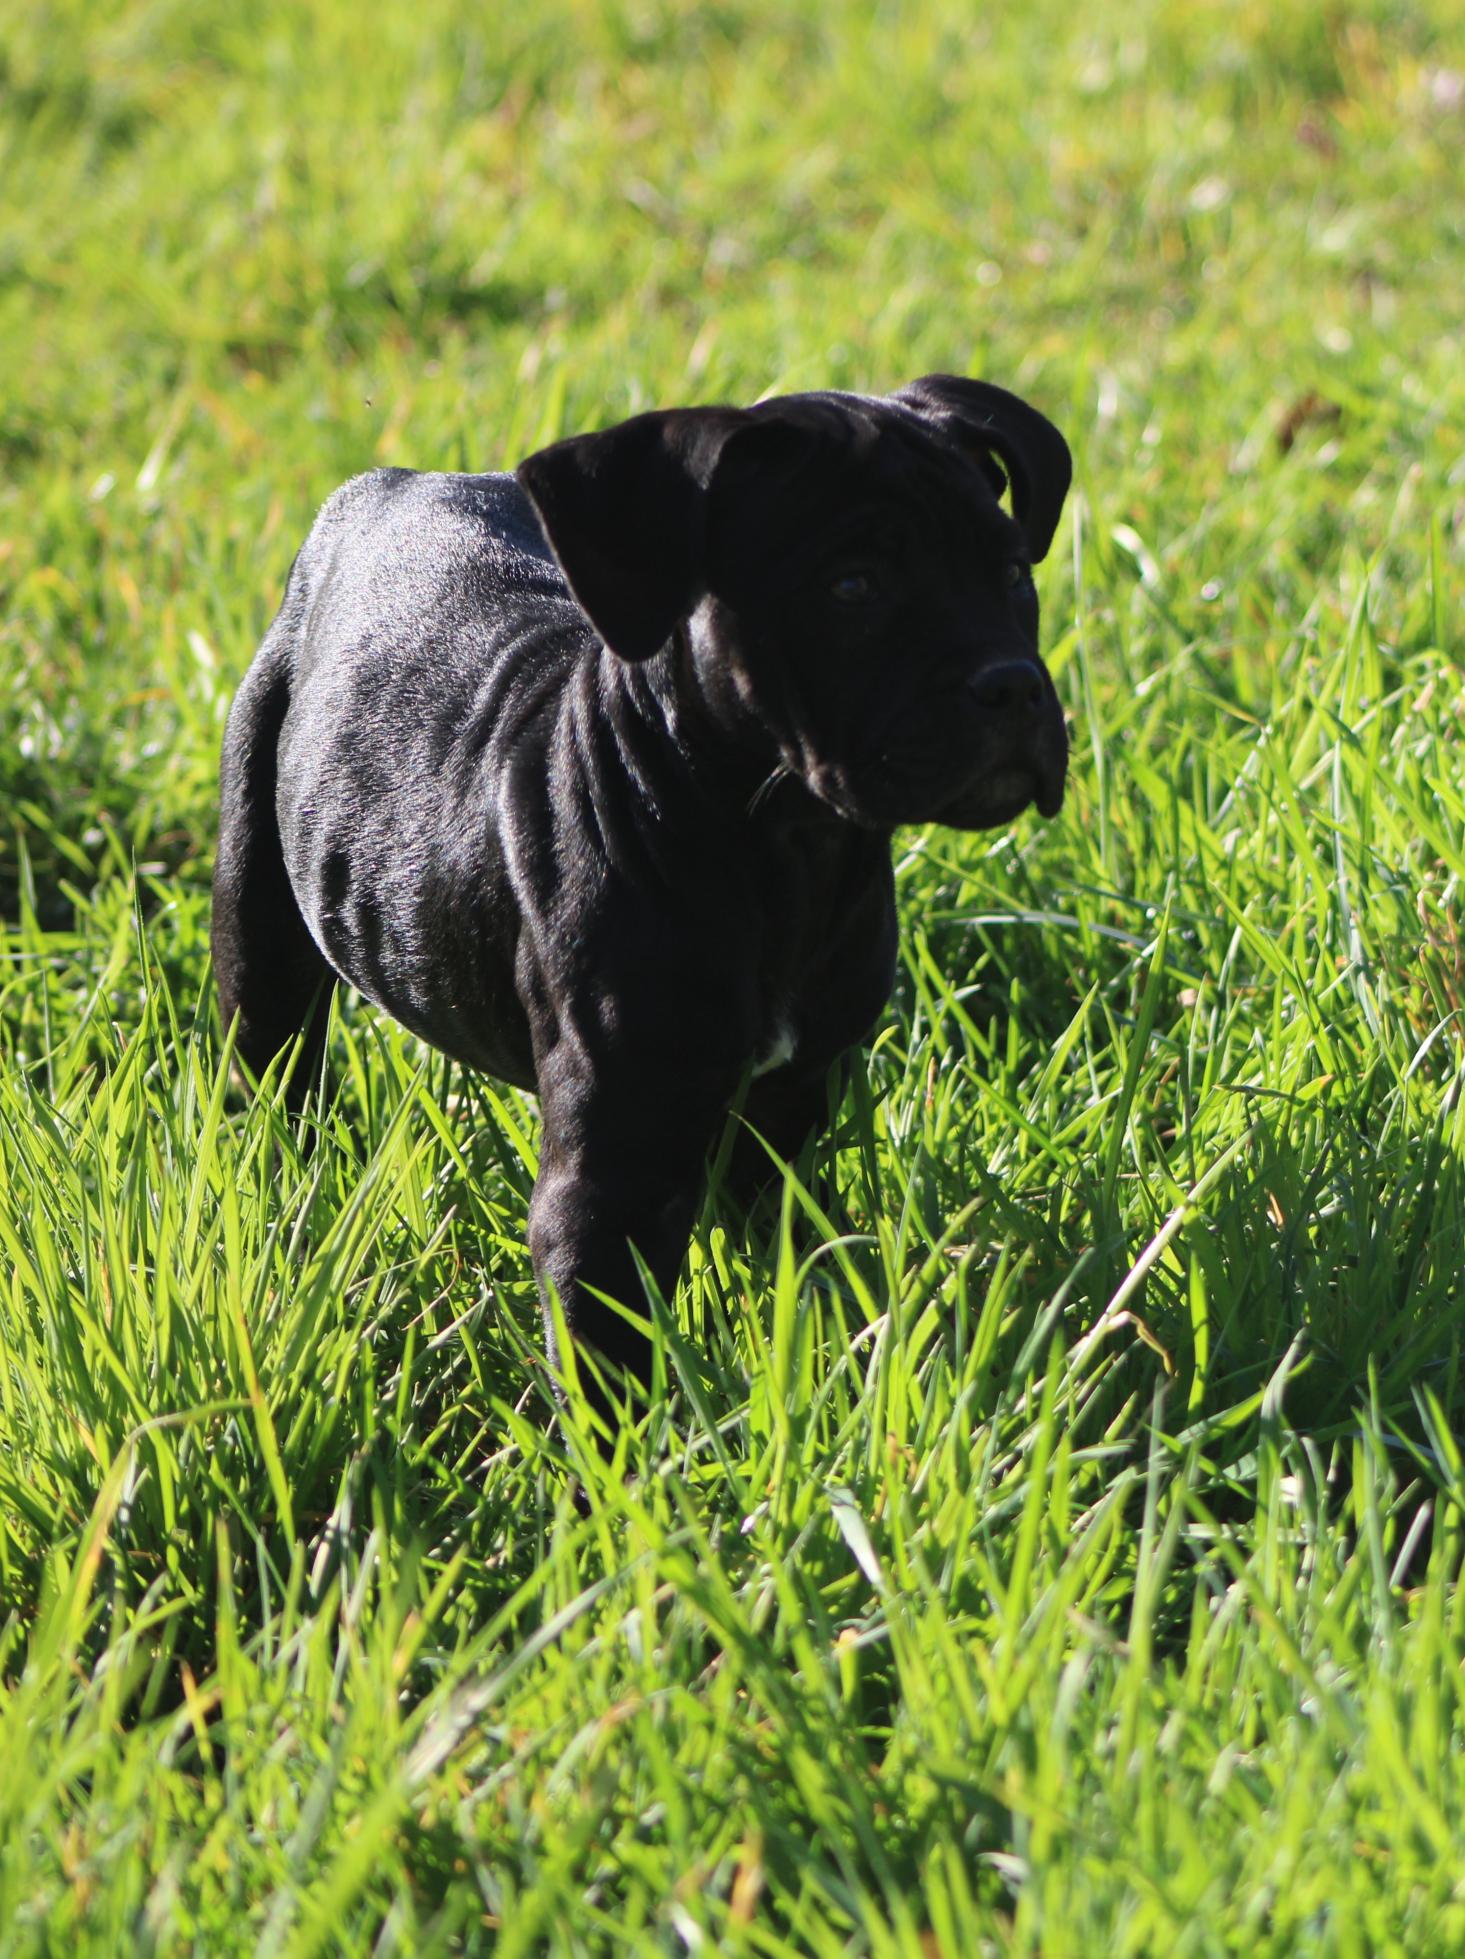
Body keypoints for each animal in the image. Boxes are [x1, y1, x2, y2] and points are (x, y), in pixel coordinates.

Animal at [211, 370, 1073, 1410]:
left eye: (1015, 575)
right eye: (851, 587)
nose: (1013, 686)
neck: (786, 843)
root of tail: (386, 486)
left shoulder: (788, 1110)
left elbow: (800, 1253)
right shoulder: (610, 1178)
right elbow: (608, 1371)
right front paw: (633, 1458)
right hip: (257, 910)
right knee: (271, 1071)